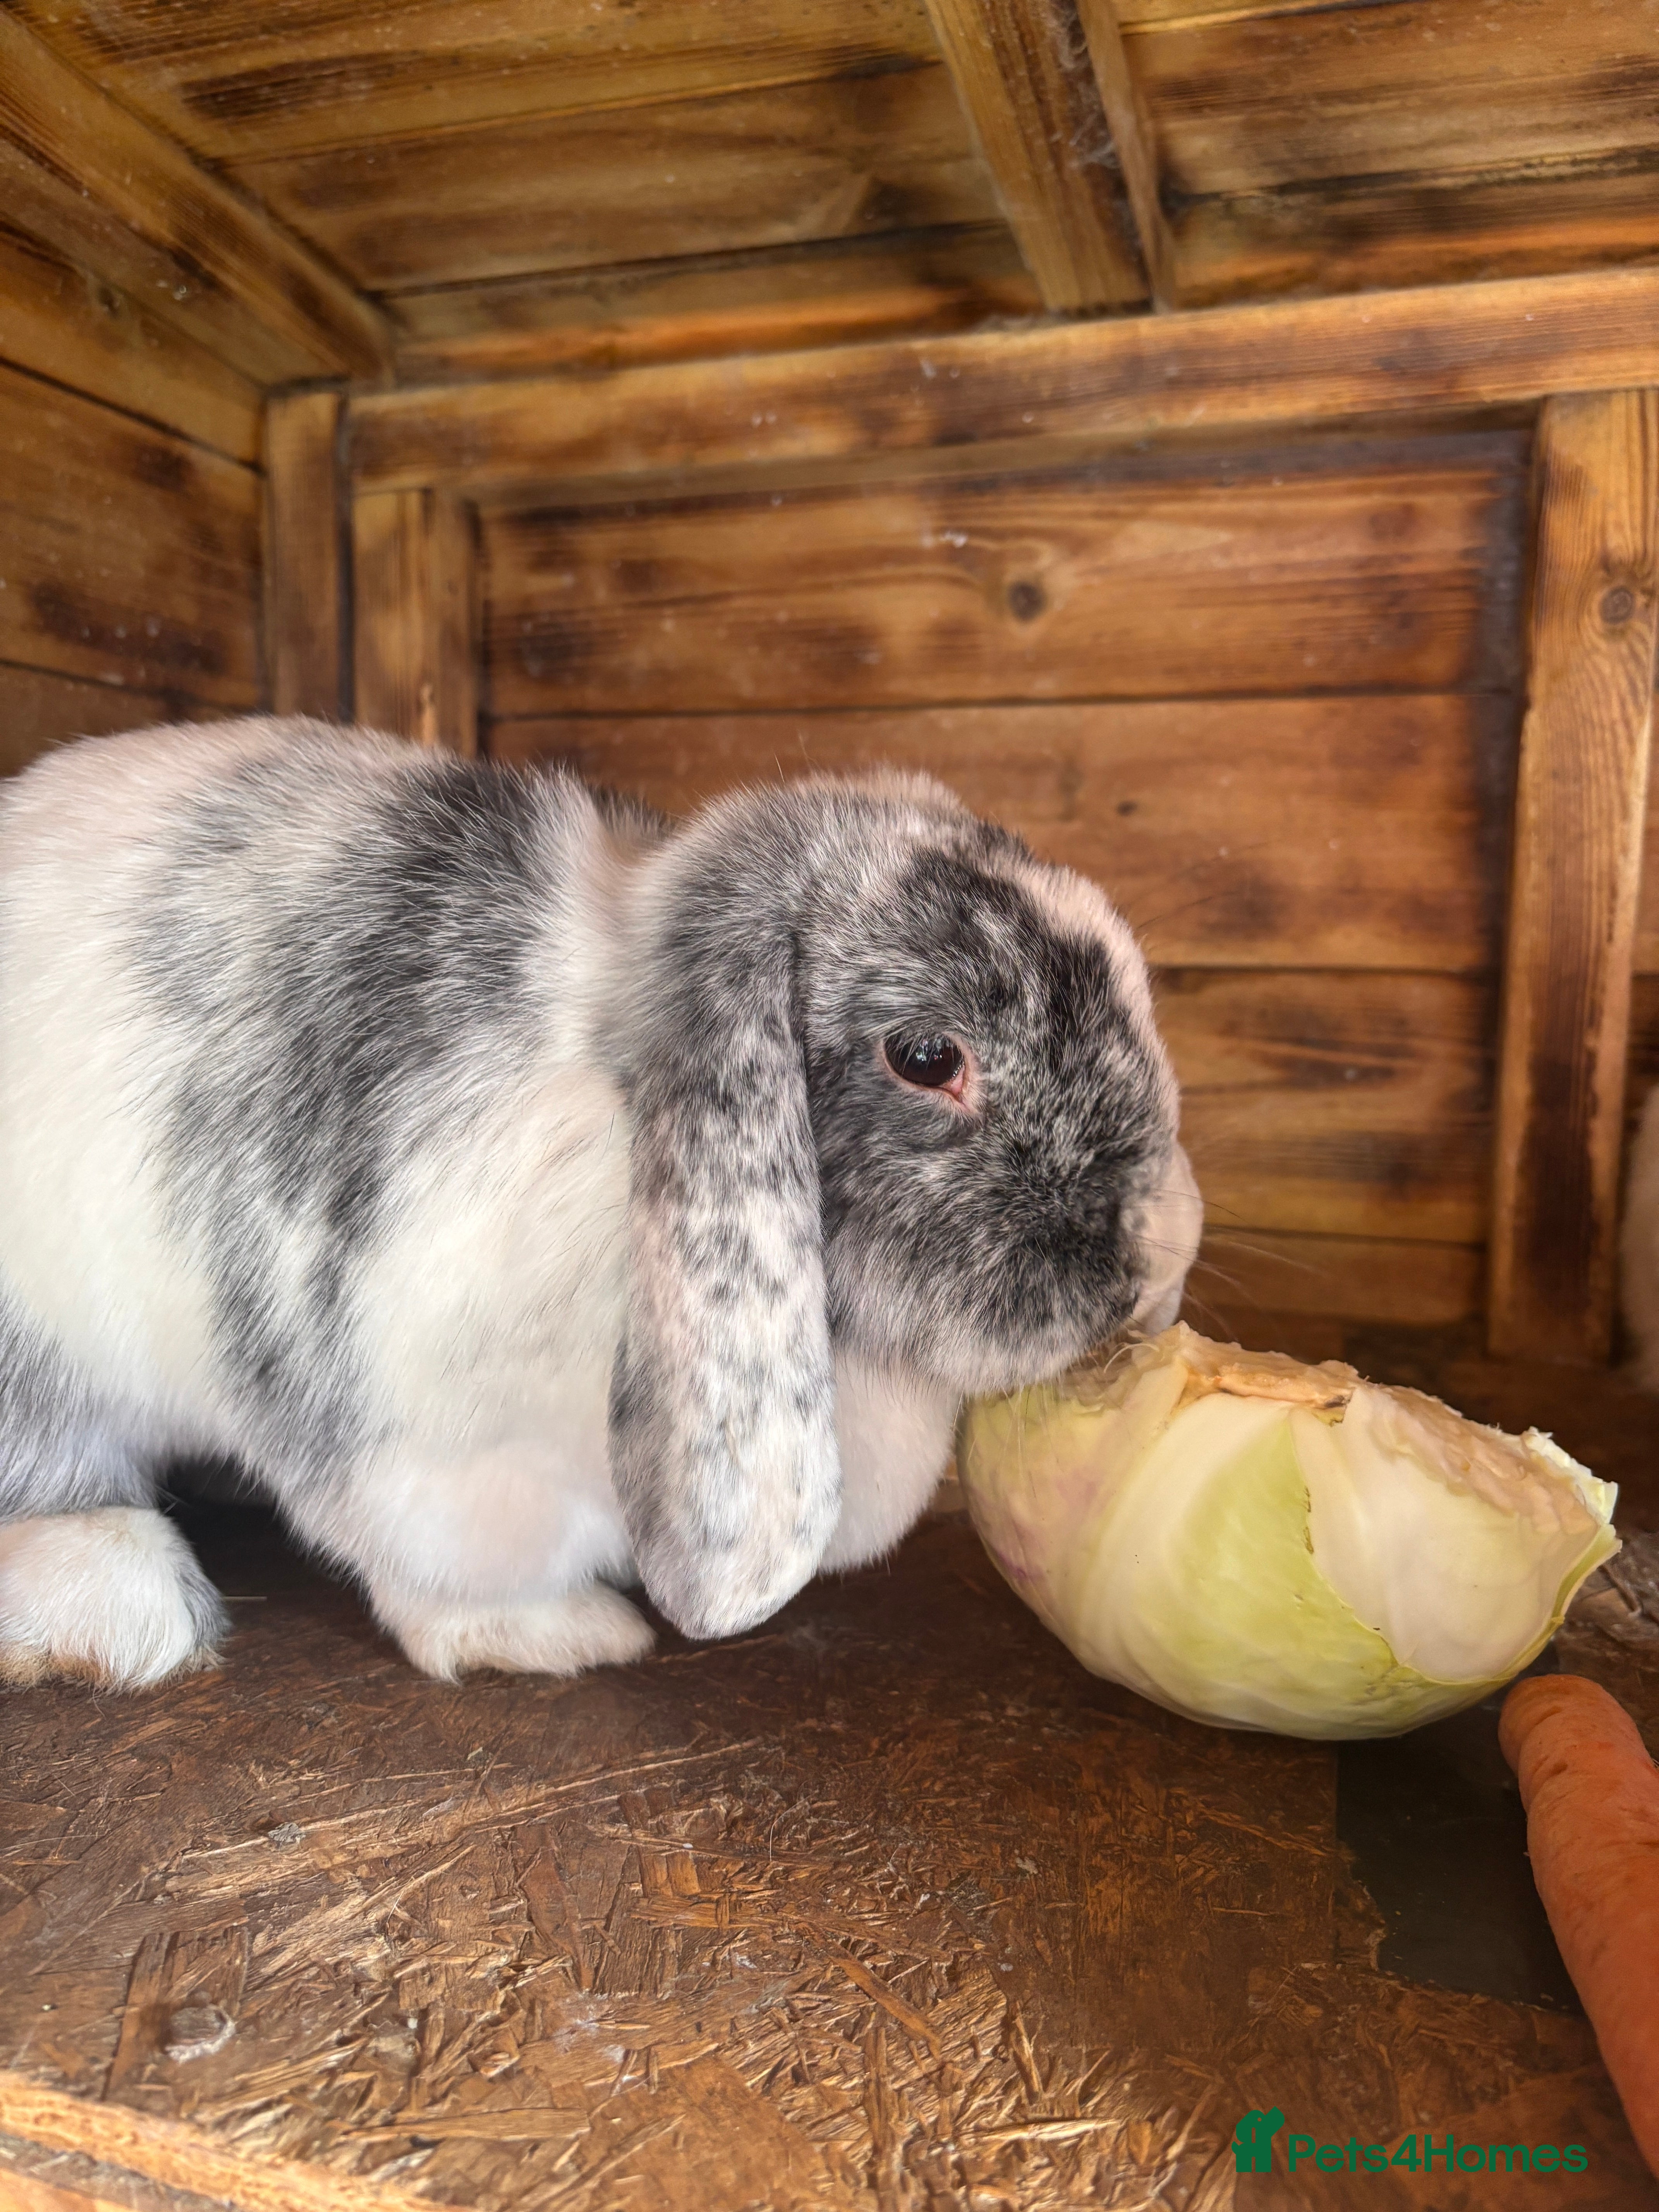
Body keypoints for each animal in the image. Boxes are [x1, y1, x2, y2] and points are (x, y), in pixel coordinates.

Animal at [0, 716, 1203, 1689]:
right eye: (926, 1057)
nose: (1157, 1261)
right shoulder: (428, 1446)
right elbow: (447, 1566)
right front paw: (563, 1636)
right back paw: (119, 1612)